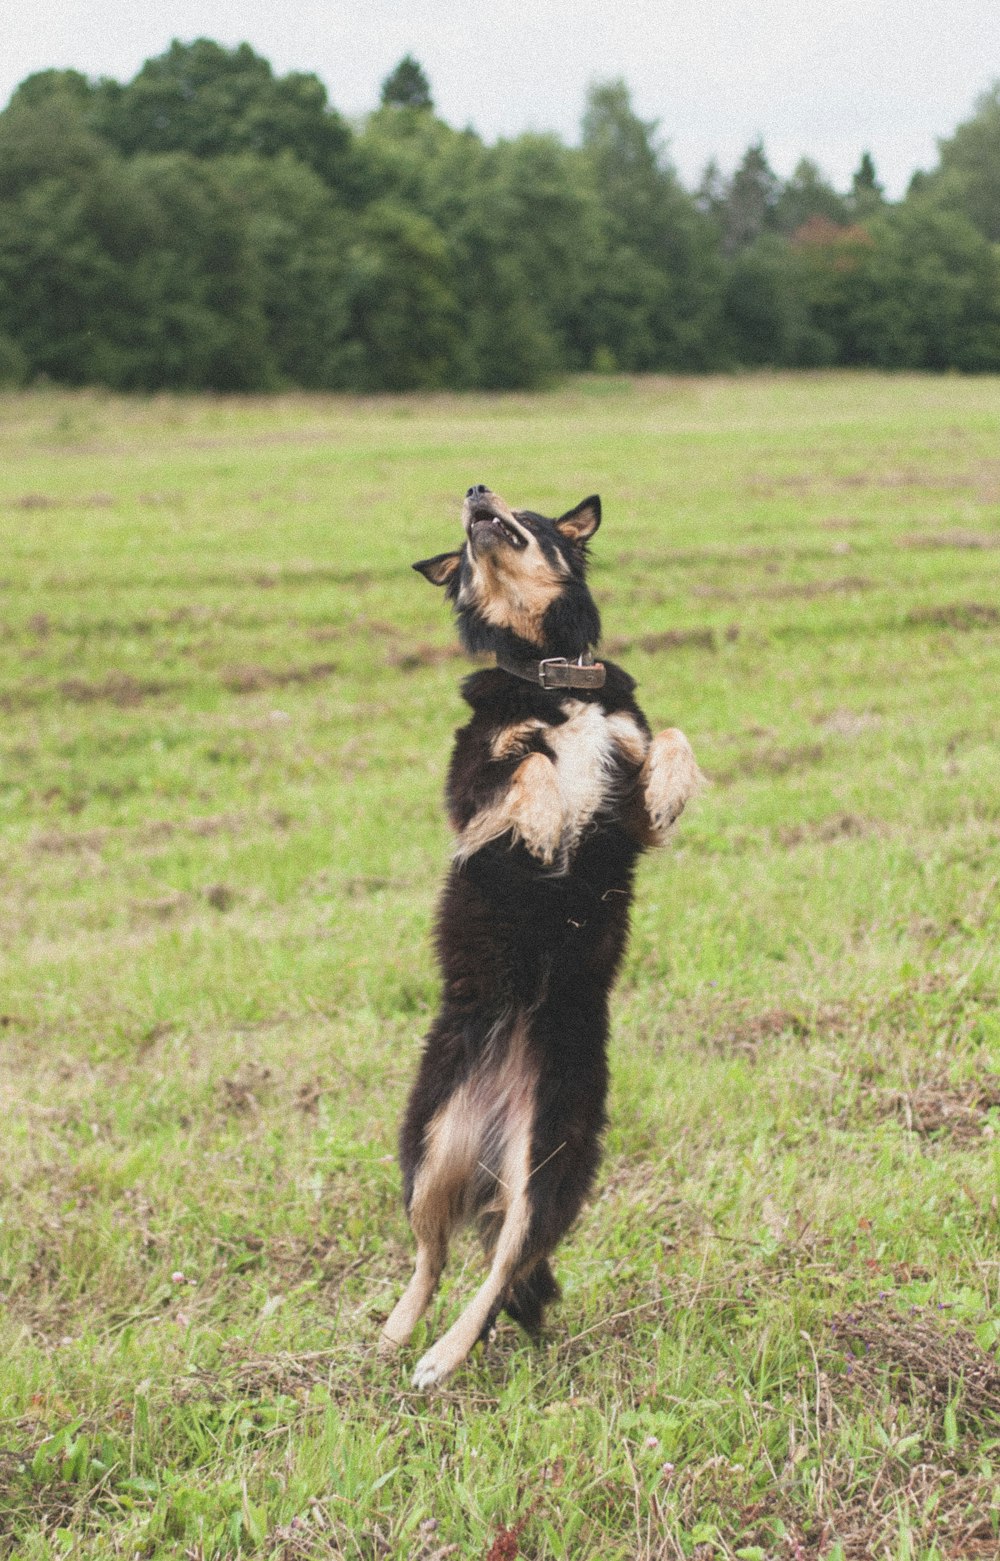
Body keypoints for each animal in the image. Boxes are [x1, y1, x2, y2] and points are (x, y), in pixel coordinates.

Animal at [375, 487, 702, 1392]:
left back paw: (441, 1353)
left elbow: (667, 741)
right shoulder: (471, 795)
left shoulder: (627, 806)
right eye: (463, 539)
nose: (475, 491)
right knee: (432, 1256)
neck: (555, 673)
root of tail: (491, 1133)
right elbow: (528, 764)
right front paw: (552, 811)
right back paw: (402, 1337)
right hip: (426, 1147)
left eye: (529, 510)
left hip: (549, 1162)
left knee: (496, 1270)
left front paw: (666, 785)